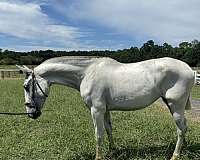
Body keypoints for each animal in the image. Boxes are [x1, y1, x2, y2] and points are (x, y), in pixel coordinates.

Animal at [16, 57, 195, 159]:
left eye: (26, 86)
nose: (31, 113)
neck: (87, 72)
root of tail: (190, 69)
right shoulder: (106, 110)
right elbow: (109, 129)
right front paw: (112, 150)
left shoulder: (96, 110)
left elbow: (98, 134)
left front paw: (98, 157)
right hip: (171, 105)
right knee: (184, 127)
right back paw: (183, 148)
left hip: (175, 105)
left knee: (180, 129)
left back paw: (175, 155)